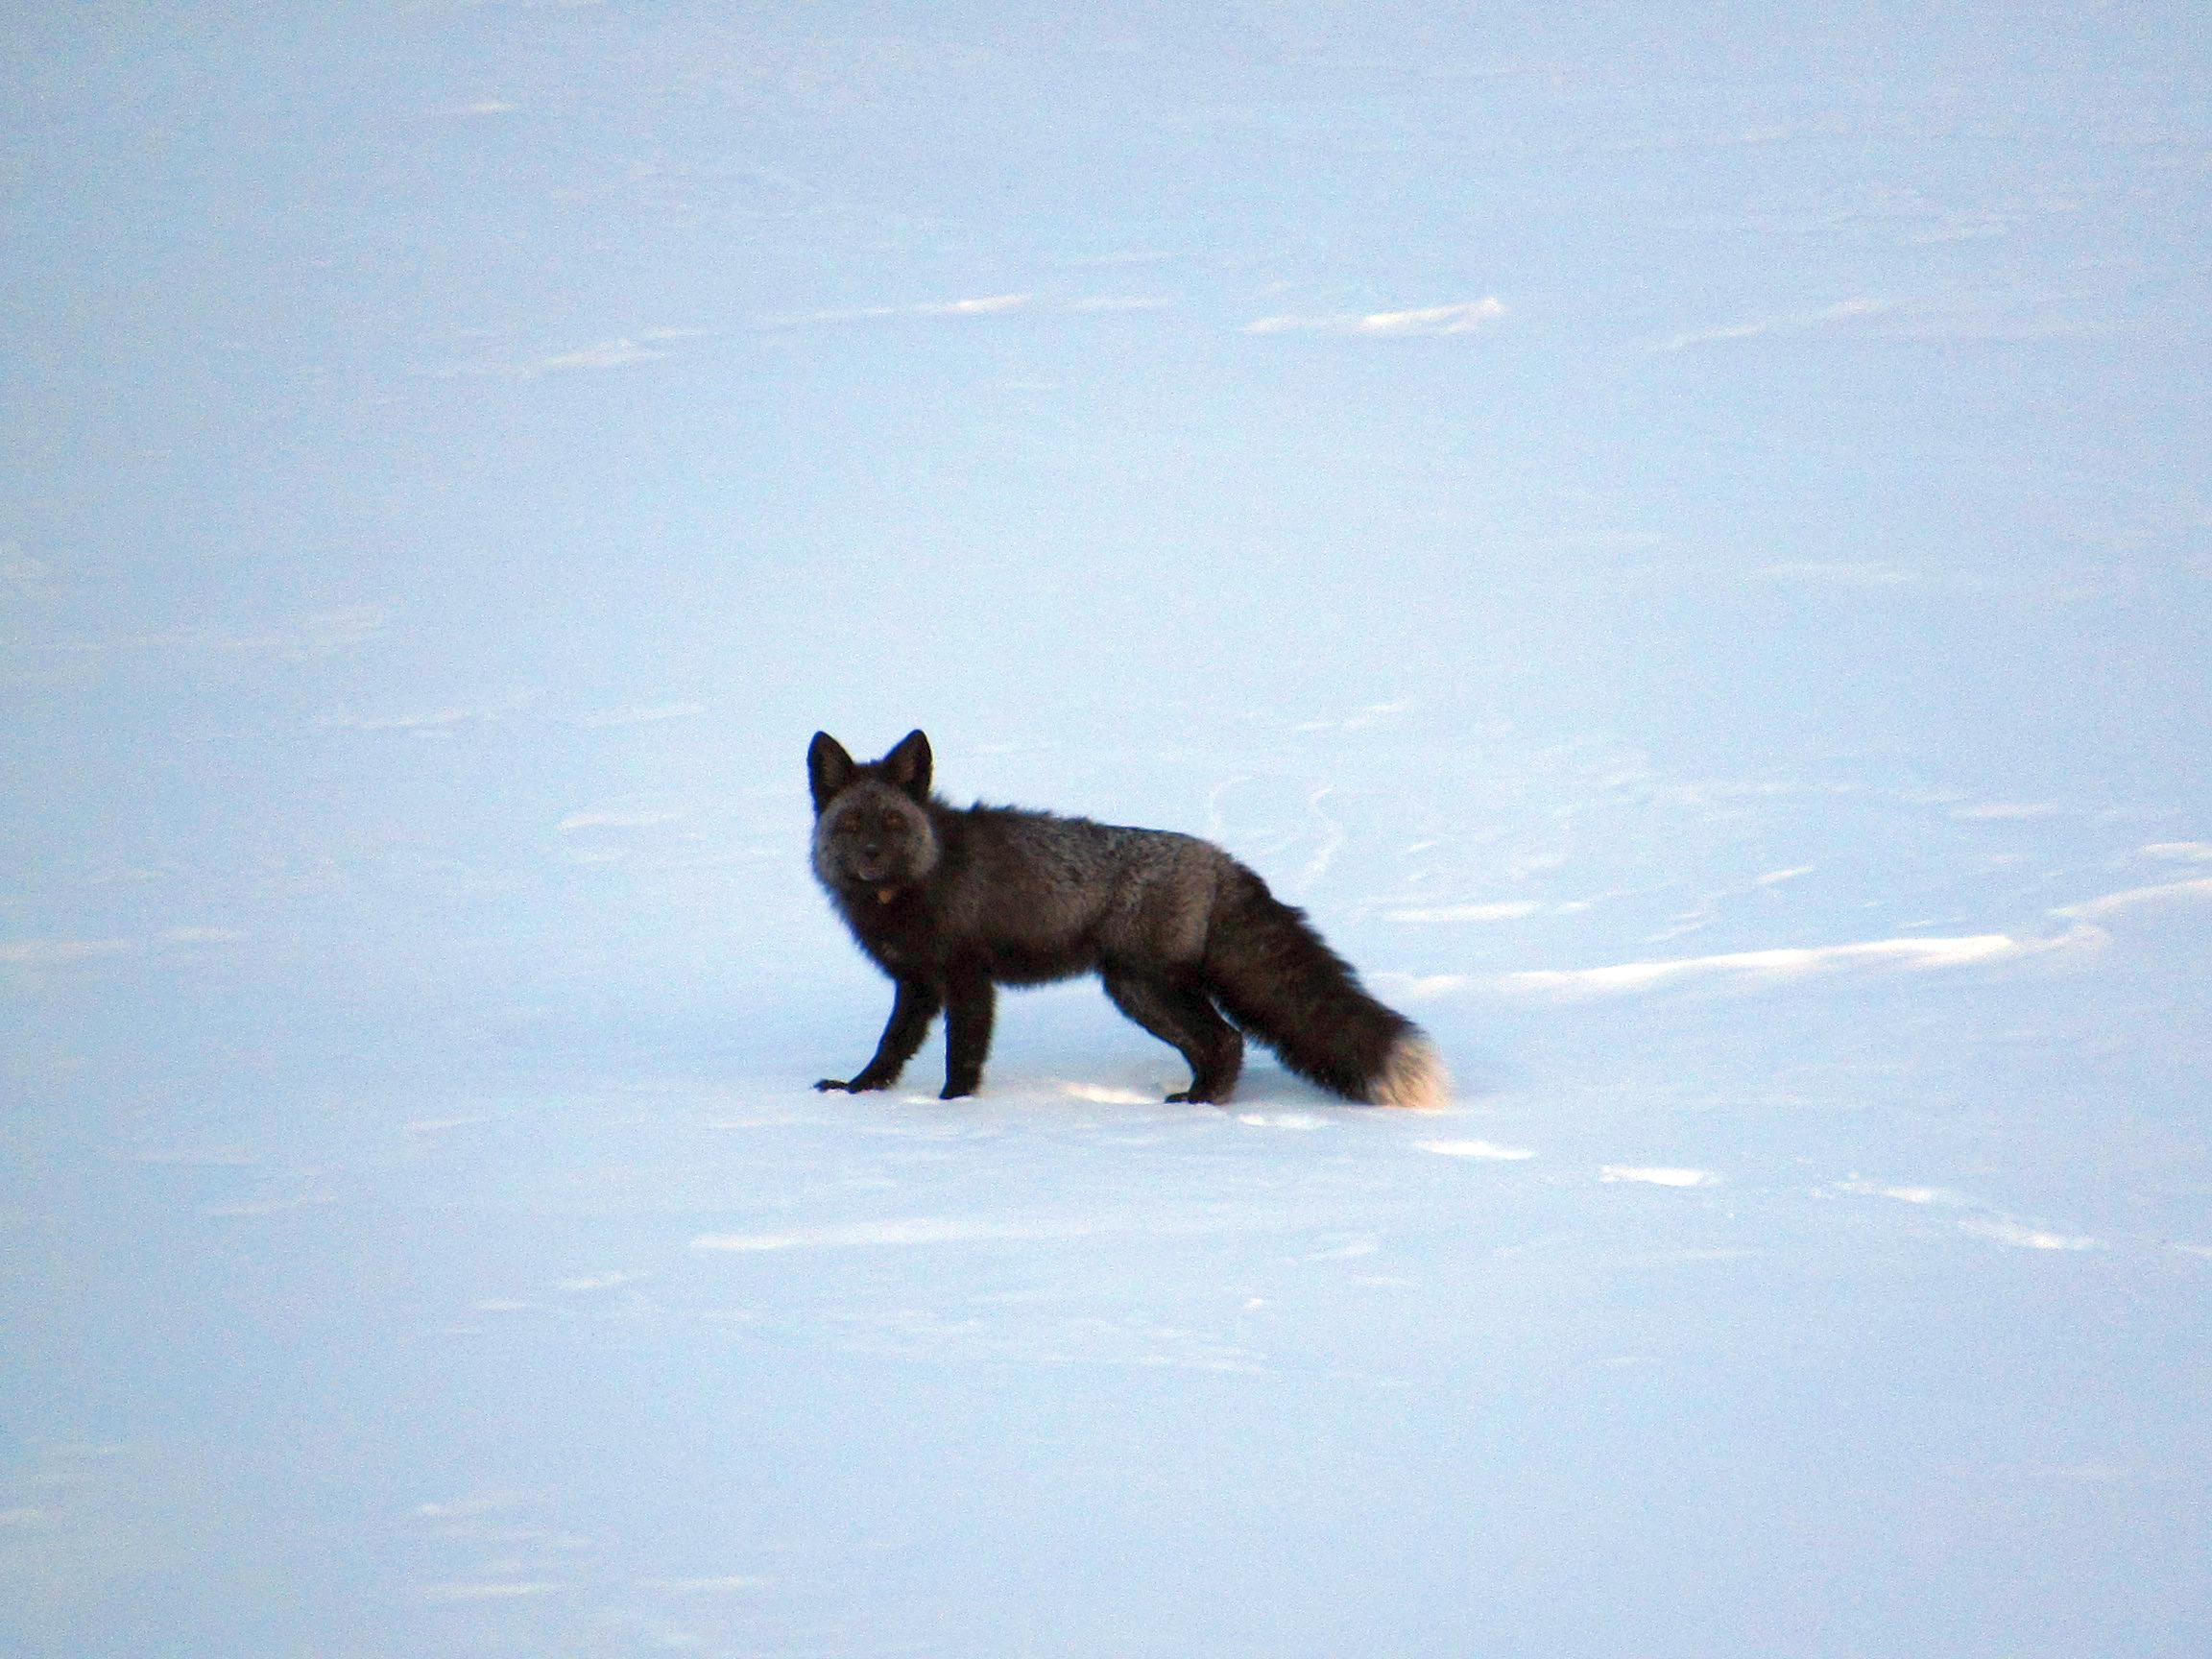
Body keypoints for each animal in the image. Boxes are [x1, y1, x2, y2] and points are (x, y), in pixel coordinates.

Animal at [807, 728, 1448, 1109]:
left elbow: (960, 1055)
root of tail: (1221, 860)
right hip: (1139, 991)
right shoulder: (916, 983)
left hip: (1143, 984)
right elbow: (891, 1046)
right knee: (1220, 1043)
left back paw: (1200, 1105)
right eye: (852, 825)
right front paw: (859, 1091)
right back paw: (1197, 1099)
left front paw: (952, 1111)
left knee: (1227, 1038)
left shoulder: (968, 980)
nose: (870, 859)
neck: (914, 888)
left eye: (893, 825)